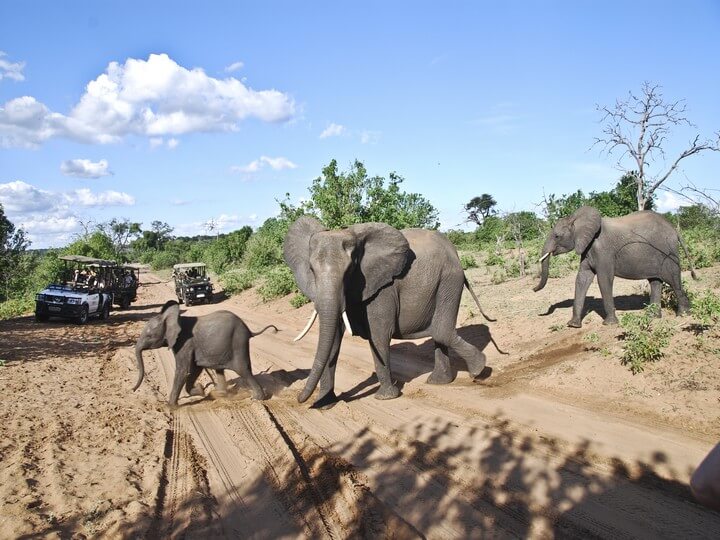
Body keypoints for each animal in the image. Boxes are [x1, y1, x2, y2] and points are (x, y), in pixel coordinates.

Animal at [133, 300, 277, 406]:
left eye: (149, 336)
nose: (133, 390)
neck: (173, 318)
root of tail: (248, 329)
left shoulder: (185, 343)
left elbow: (183, 370)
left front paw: (170, 407)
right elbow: (195, 368)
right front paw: (201, 390)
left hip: (238, 343)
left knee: (243, 369)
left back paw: (256, 399)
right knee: (221, 369)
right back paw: (221, 394)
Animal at [284, 216, 495, 408]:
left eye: (350, 270)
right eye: (311, 269)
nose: (300, 400)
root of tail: (454, 252)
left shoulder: (382, 288)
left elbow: (378, 335)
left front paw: (386, 398)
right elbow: (334, 339)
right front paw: (325, 404)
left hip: (449, 280)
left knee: (441, 331)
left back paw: (478, 370)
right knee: (439, 333)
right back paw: (440, 382)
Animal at [534, 206, 697, 327]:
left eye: (557, 236)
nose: (534, 289)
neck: (577, 218)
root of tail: (674, 230)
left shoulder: (603, 251)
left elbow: (604, 279)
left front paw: (610, 324)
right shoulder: (587, 249)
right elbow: (582, 279)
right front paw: (573, 325)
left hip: (668, 253)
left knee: (673, 280)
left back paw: (683, 315)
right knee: (655, 281)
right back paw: (653, 317)